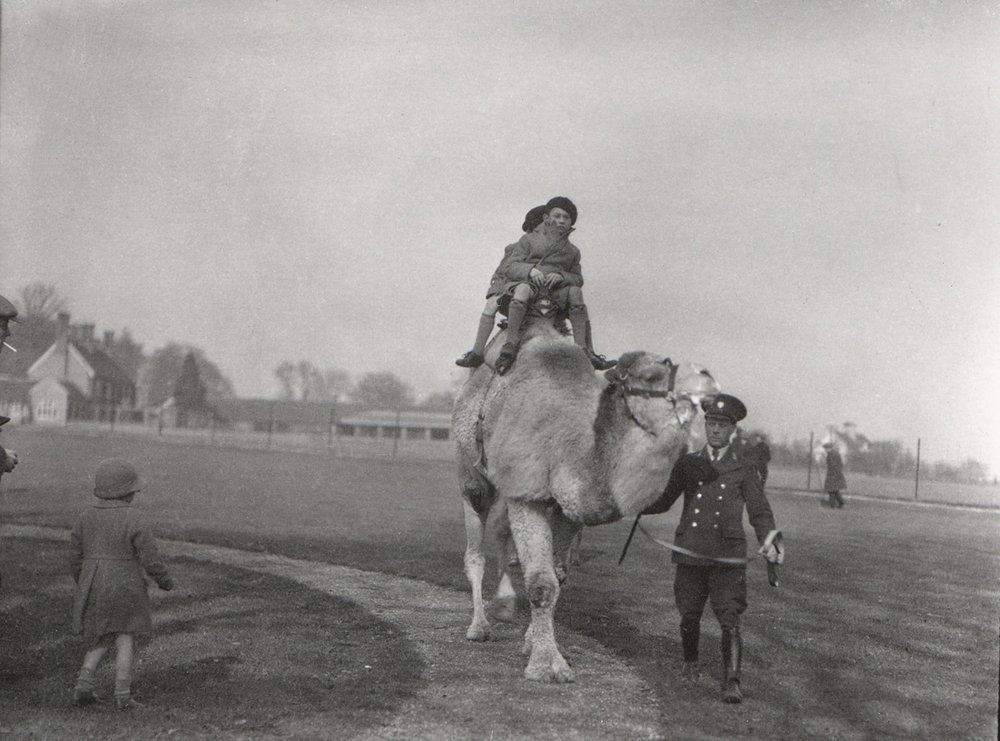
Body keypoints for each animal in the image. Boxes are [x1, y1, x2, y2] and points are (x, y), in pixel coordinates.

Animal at [453, 307, 719, 682]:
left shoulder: (566, 507)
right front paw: (547, 665)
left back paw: (504, 603)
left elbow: (557, 576)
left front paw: (533, 643)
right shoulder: (528, 493)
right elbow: (541, 583)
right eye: (651, 376)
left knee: (502, 534)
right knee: (475, 544)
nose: (703, 394)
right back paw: (479, 626)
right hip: (472, 472)